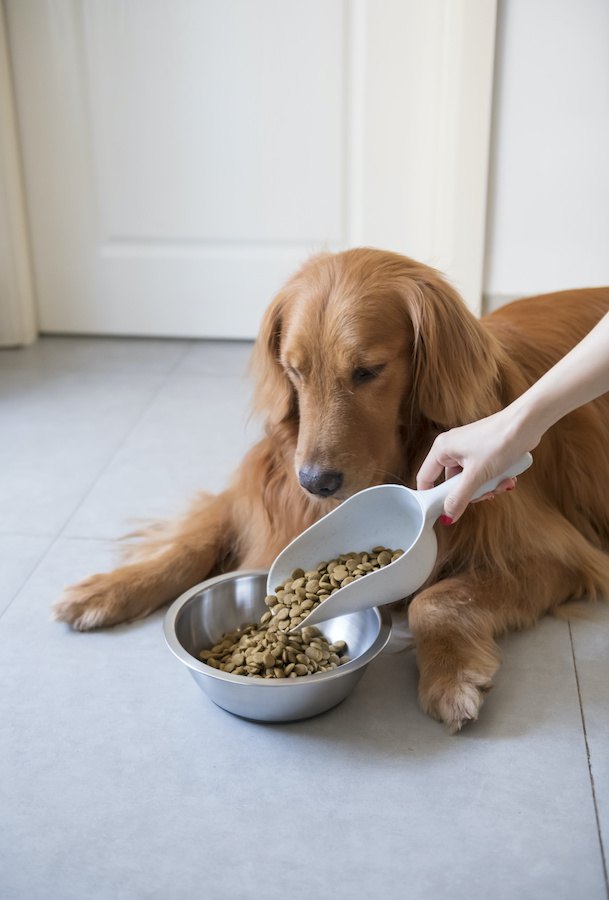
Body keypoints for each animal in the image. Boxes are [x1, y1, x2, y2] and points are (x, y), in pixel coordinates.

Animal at [52, 246, 608, 732]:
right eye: (293, 369)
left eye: (368, 371)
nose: (314, 483)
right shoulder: (261, 497)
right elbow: (190, 542)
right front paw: (108, 588)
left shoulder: (558, 555)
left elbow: (436, 598)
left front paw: (450, 678)